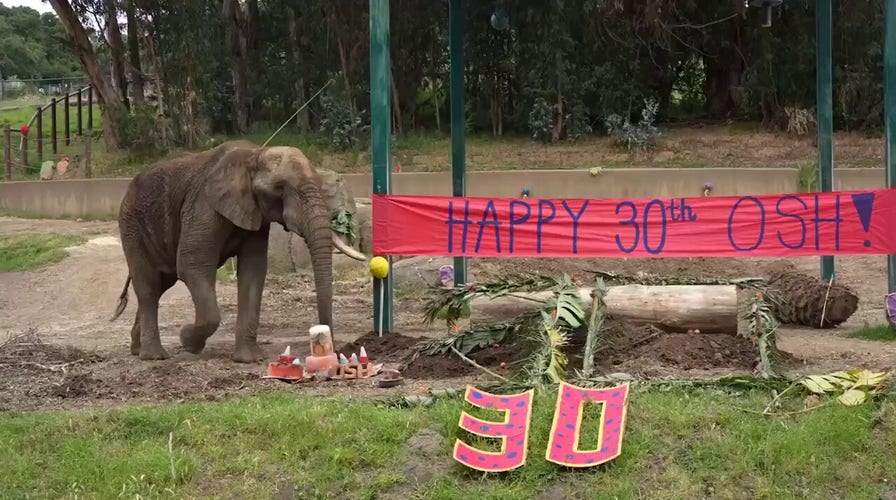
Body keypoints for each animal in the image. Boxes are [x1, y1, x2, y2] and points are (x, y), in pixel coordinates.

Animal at [107, 139, 368, 362]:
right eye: (279, 188)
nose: (331, 347)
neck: (255, 154)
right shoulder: (203, 206)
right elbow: (192, 265)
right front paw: (187, 341)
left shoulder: (255, 214)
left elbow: (253, 271)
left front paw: (249, 360)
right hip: (131, 225)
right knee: (149, 285)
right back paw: (154, 356)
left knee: (161, 283)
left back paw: (137, 349)